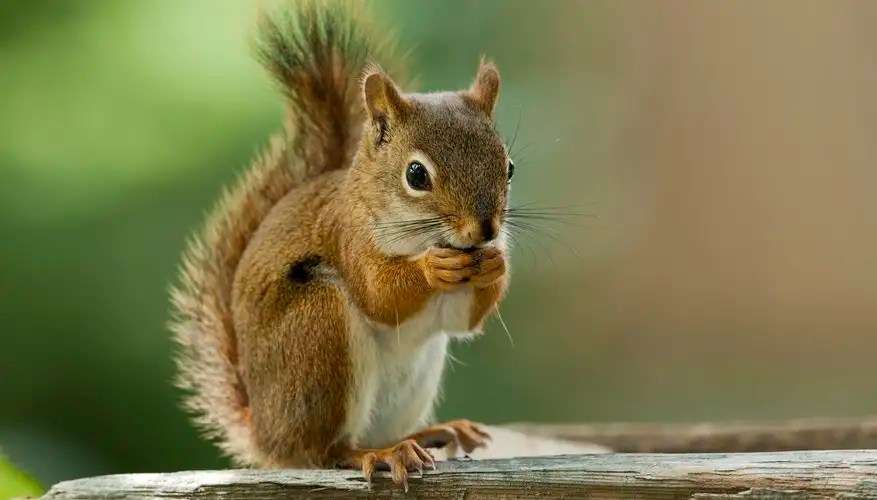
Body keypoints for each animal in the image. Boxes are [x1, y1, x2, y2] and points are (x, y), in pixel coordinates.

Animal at [169, 0, 512, 489]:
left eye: (509, 166)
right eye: (416, 175)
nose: (484, 231)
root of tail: (267, 436)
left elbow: (465, 319)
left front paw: (496, 265)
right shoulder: (348, 237)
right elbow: (380, 294)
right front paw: (431, 269)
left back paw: (430, 434)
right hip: (318, 329)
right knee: (326, 451)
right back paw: (380, 454)